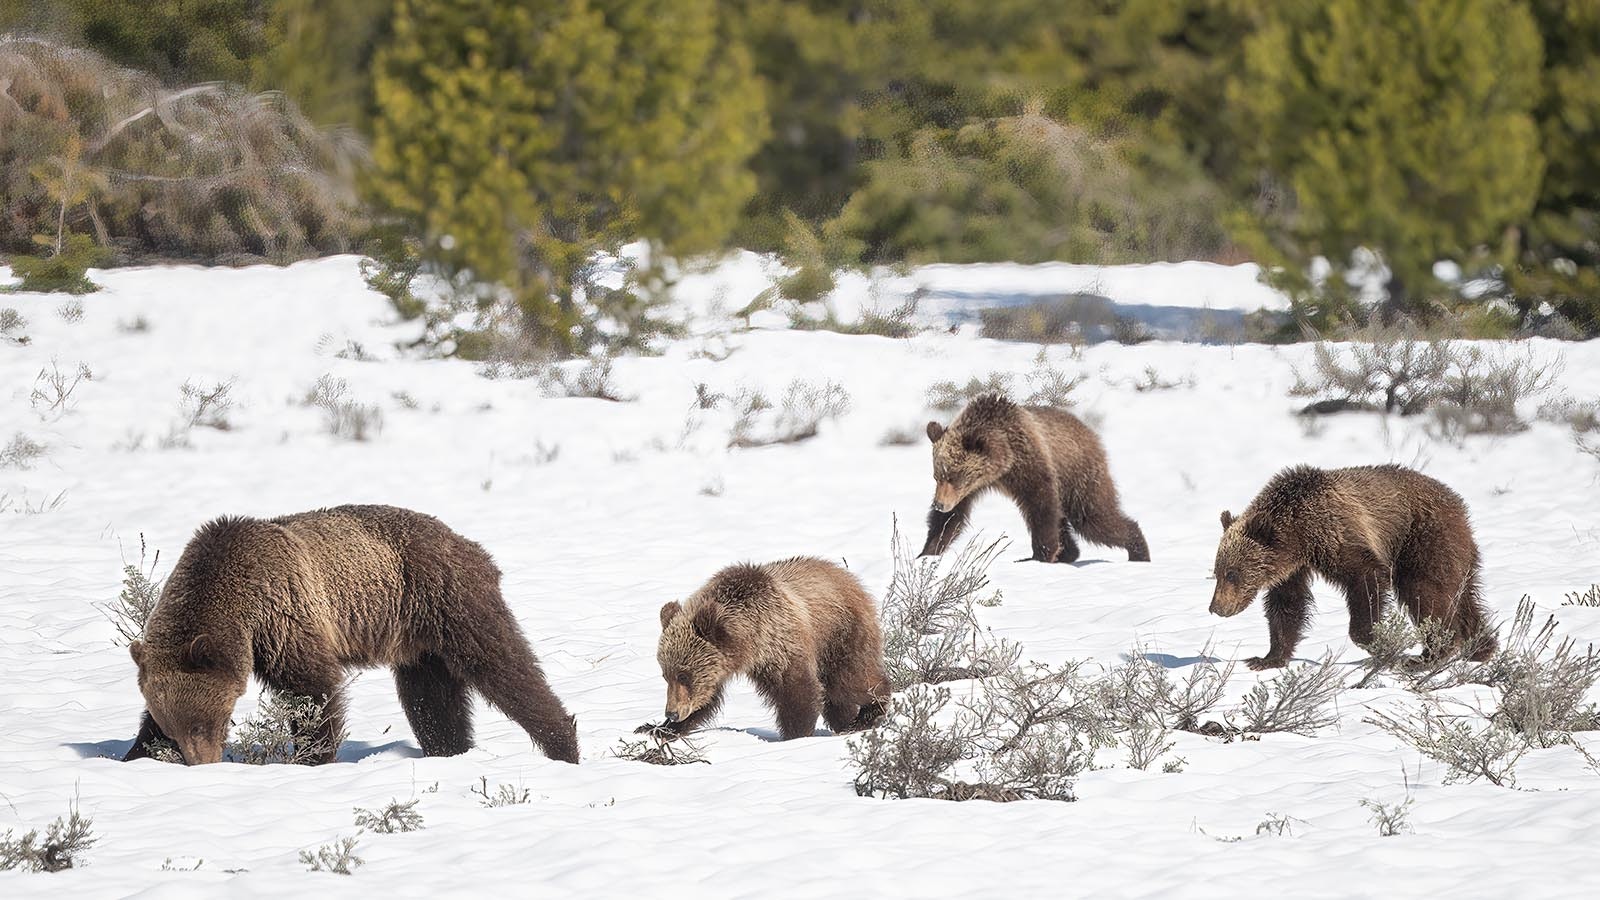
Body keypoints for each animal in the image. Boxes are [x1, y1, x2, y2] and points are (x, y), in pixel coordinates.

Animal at [123, 499, 582, 759]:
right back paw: (449, 750)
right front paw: (137, 753)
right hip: (418, 642)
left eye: (206, 723)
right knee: (431, 701)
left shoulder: (286, 616)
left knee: (503, 666)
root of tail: (467, 544)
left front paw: (313, 755)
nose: (202, 760)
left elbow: (313, 691)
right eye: (174, 728)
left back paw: (563, 743)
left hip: (447, 600)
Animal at [646, 557, 896, 739]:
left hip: (839, 634)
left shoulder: (780, 644)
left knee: (849, 680)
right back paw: (845, 721)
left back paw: (868, 713)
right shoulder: (721, 666)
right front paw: (657, 728)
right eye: (666, 675)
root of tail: (850, 578)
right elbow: (706, 699)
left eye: (684, 675)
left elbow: (797, 691)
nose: (672, 713)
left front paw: (794, 735)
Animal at [928, 392, 1152, 560]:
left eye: (953, 476)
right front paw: (929, 551)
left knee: (1093, 518)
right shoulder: (970, 489)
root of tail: (1089, 430)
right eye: (937, 476)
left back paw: (1138, 549)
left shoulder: (1029, 463)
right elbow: (950, 519)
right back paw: (1070, 553)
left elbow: (1041, 506)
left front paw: (1040, 554)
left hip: (1079, 475)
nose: (939, 504)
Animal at [1209, 461, 1497, 666]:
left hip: (1422, 538)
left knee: (1424, 591)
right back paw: (1481, 648)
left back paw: (1430, 655)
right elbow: (1287, 604)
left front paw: (1376, 639)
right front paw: (1268, 658)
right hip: (1455, 552)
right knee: (1463, 596)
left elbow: (1365, 577)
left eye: (1232, 573)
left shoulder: (1337, 533)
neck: (1300, 533)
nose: (1216, 608)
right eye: (1217, 572)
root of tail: (1457, 502)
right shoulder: (1292, 568)